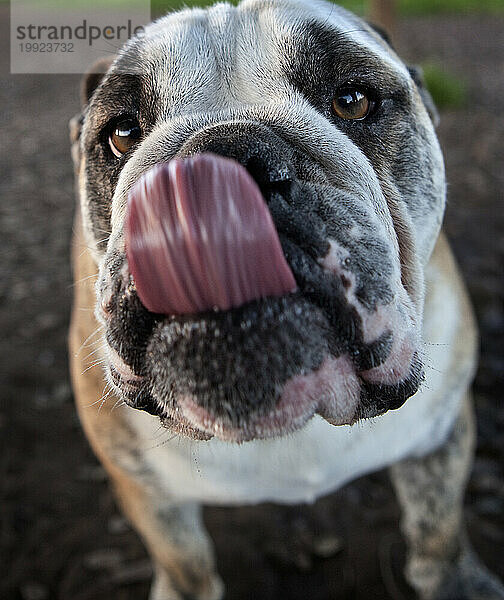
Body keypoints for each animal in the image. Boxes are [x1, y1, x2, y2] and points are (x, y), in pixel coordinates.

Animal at [69, 2, 504, 596]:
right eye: (120, 133)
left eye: (353, 100)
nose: (213, 170)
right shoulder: (146, 491)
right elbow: (185, 560)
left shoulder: (441, 436)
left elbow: (438, 524)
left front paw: (456, 579)